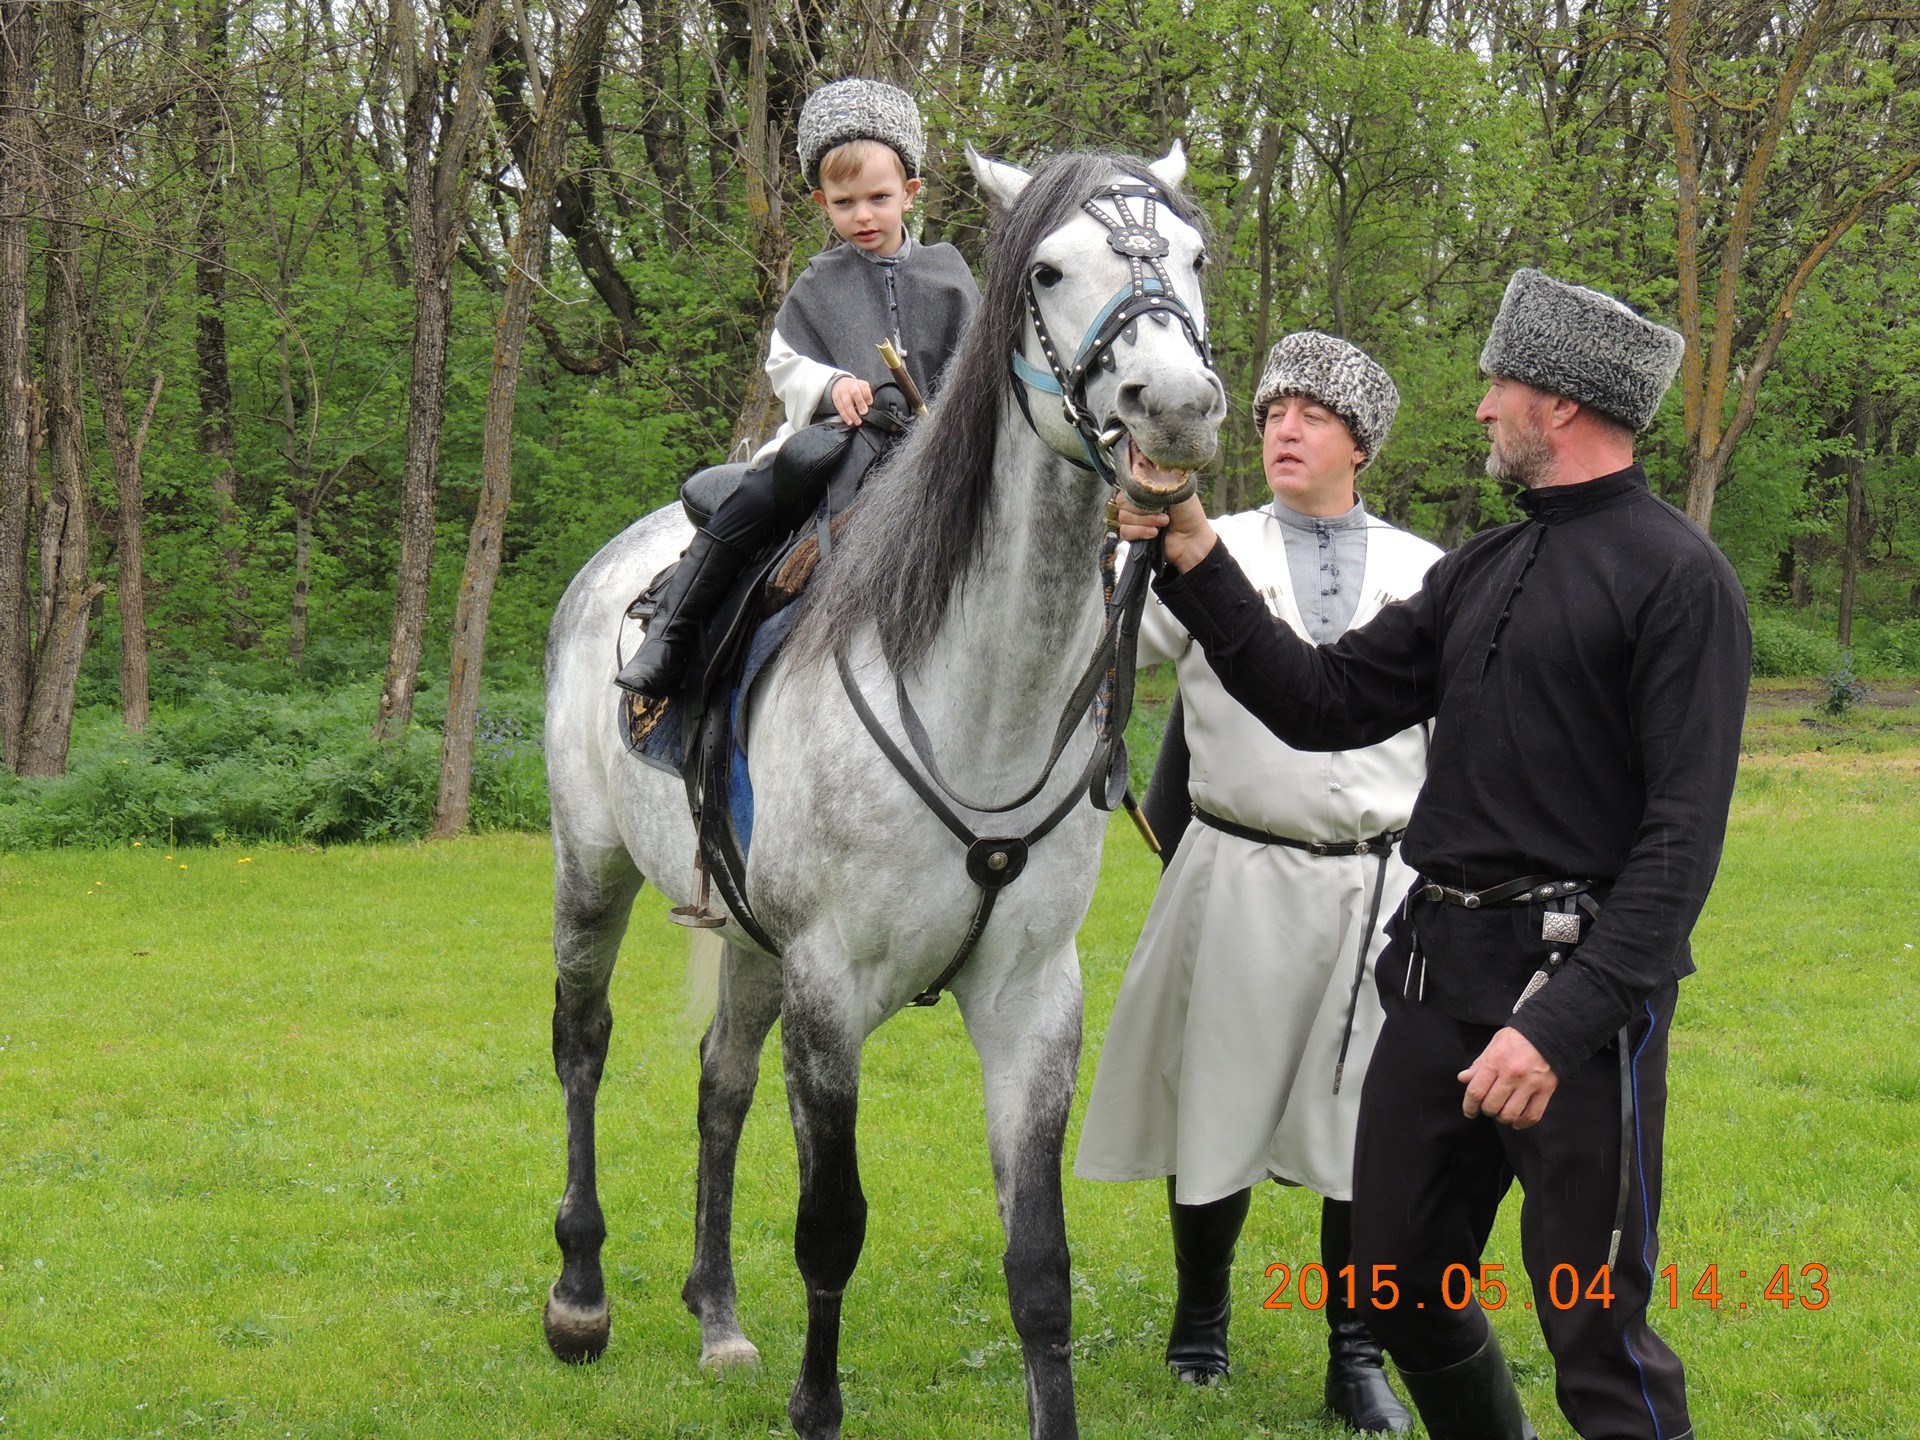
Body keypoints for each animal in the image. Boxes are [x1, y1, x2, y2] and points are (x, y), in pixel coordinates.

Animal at [541, 149, 1228, 1440]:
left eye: (1194, 256)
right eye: (1049, 270)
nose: (1174, 403)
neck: (979, 701)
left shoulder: (1033, 1000)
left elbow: (1039, 1266)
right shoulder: (832, 989)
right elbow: (831, 1230)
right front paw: (817, 1407)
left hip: (747, 939)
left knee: (719, 1083)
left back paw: (716, 1315)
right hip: (591, 873)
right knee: (582, 1048)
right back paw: (580, 1296)